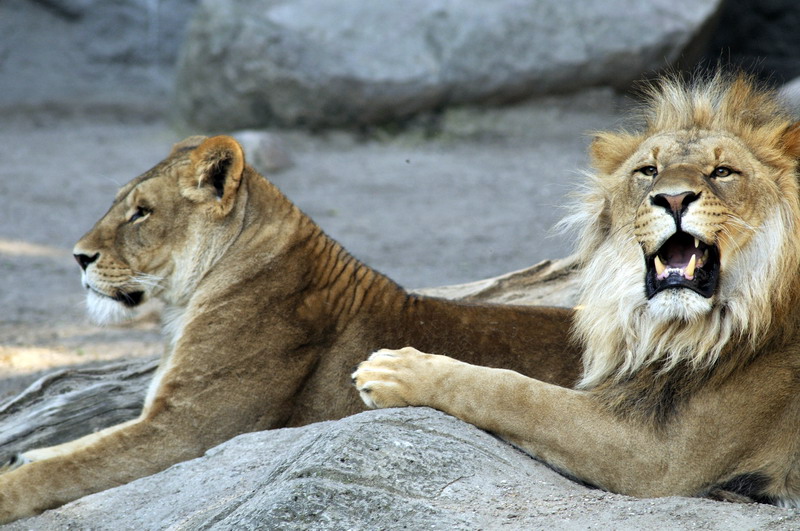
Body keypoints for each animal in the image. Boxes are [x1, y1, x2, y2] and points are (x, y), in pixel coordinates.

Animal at [0, 135, 583, 523]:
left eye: (141, 212)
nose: (78, 257)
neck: (185, 306)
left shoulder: (189, 433)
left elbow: (62, 470)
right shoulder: (157, 417)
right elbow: (69, 447)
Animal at [354, 72, 800, 506]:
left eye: (723, 171)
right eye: (649, 171)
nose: (674, 199)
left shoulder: (663, 457)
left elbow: (517, 393)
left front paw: (394, 370)